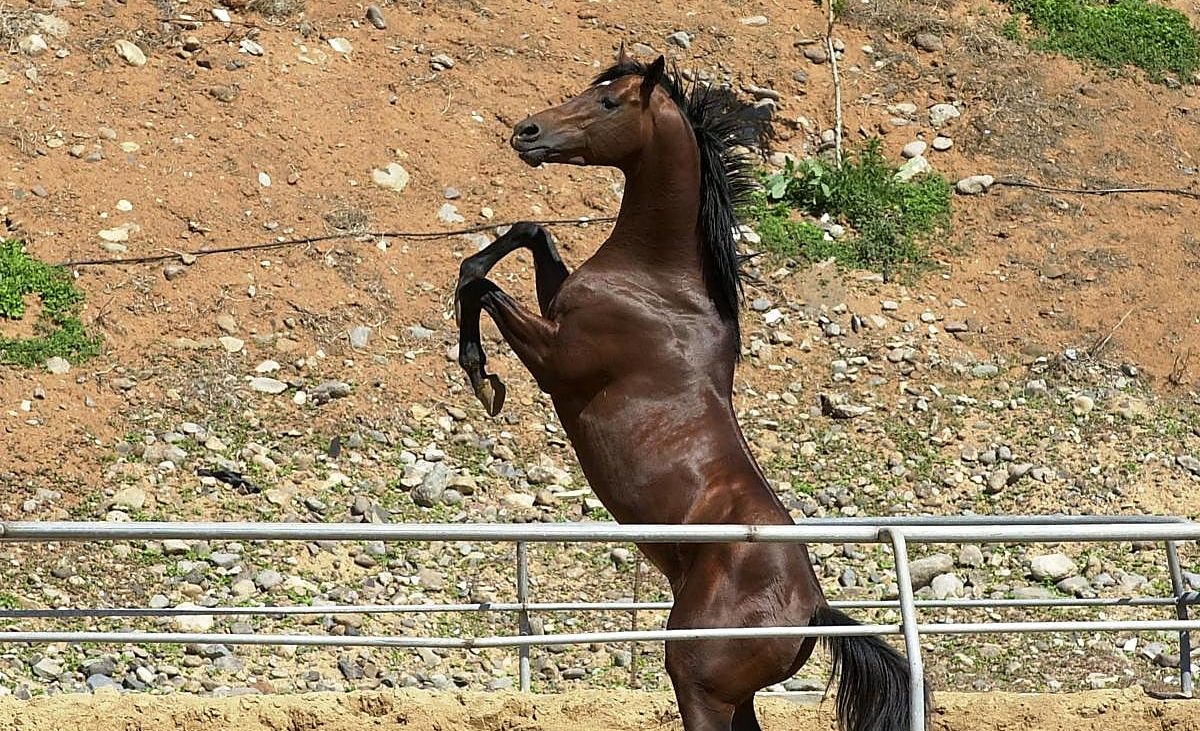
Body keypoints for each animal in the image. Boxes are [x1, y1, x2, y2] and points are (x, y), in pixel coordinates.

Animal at [455, 47, 924, 731]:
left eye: (609, 102)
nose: (527, 132)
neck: (659, 284)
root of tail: (814, 611)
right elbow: (530, 232)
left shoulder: (557, 358)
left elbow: (479, 285)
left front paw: (480, 375)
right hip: (735, 698)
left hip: (698, 685)